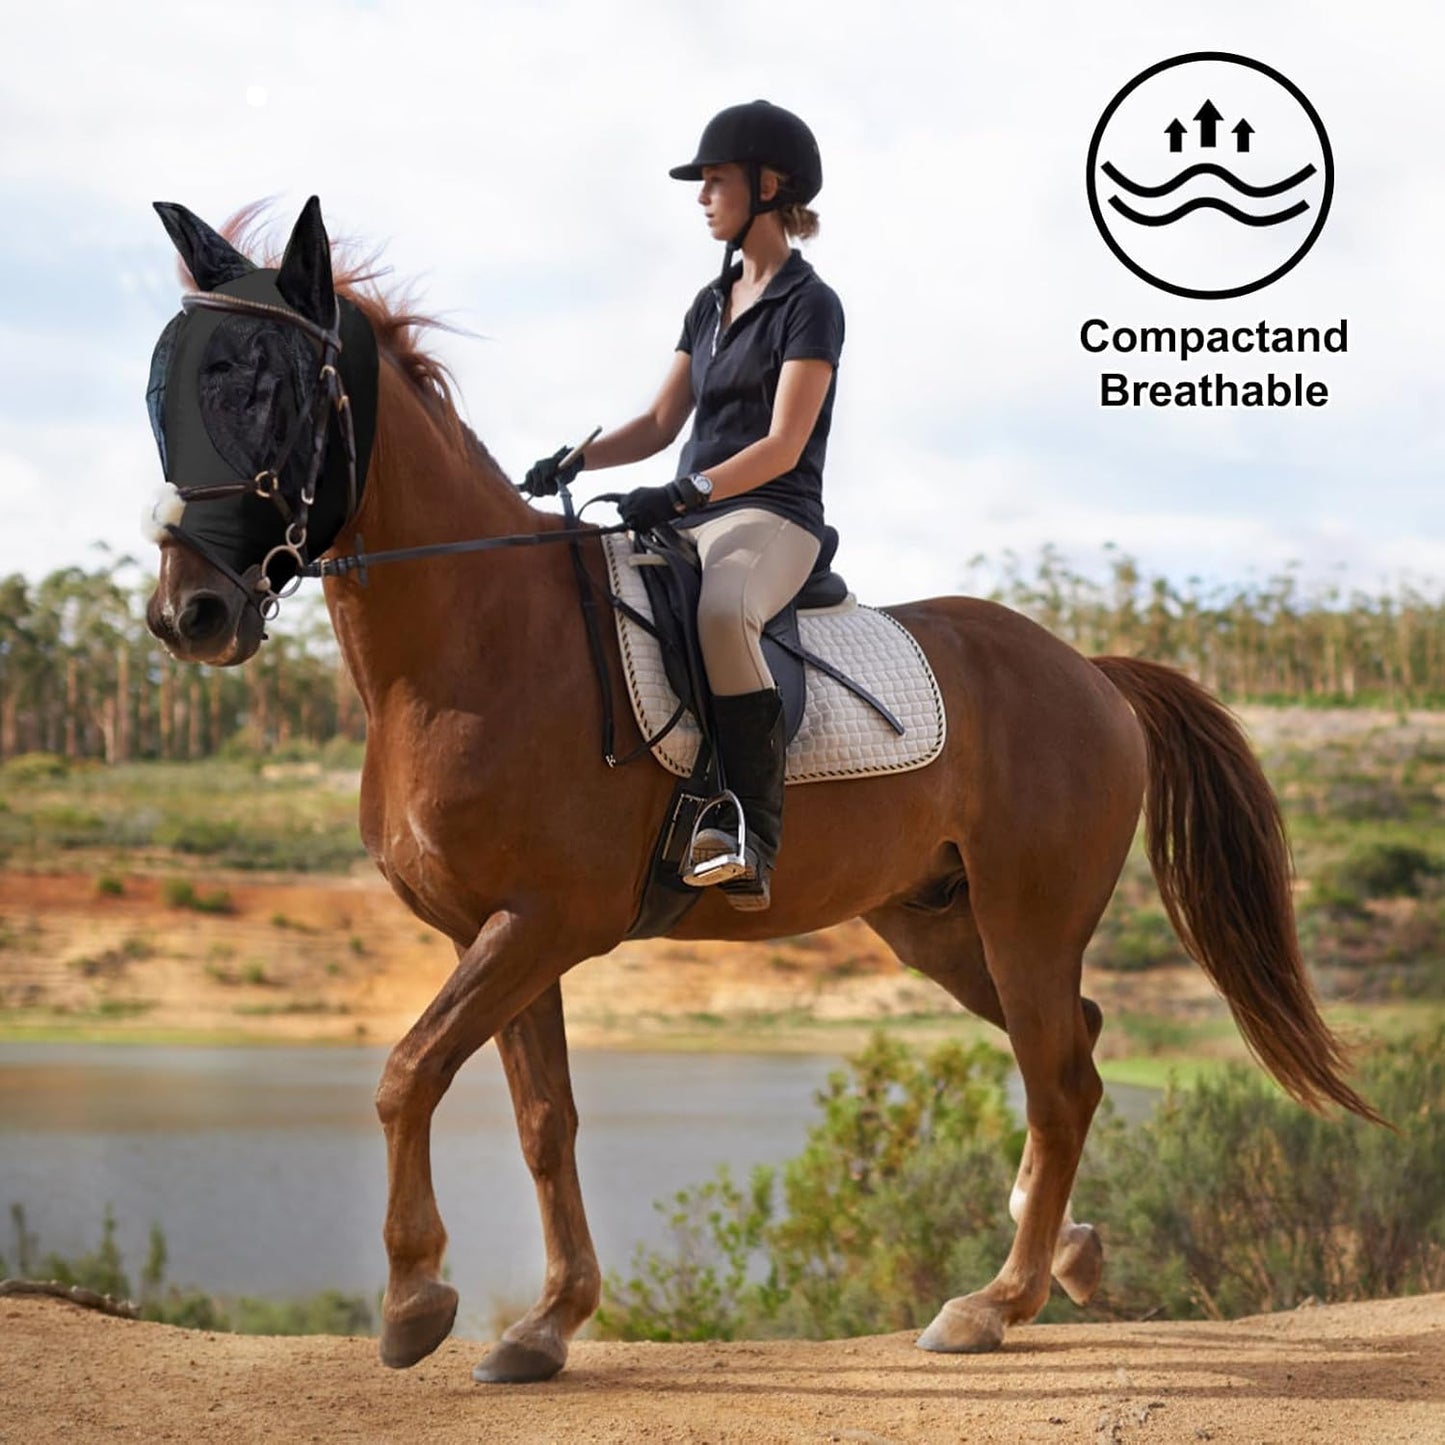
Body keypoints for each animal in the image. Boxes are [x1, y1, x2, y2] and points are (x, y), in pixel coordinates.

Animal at [142, 197, 1381, 1384]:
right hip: (935, 923)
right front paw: (546, 1324)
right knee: (1065, 1047)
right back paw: (1058, 1248)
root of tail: (1089, 669)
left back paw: (993, 1301)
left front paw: (413, 1303)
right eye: (164, 388)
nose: (187, 614)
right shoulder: (488, 932)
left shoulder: (543, 921)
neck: (474, 639)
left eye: (265, 385)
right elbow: (542, 1118)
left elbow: (406, 1074)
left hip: (1025, 916)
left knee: (1059, 1073)